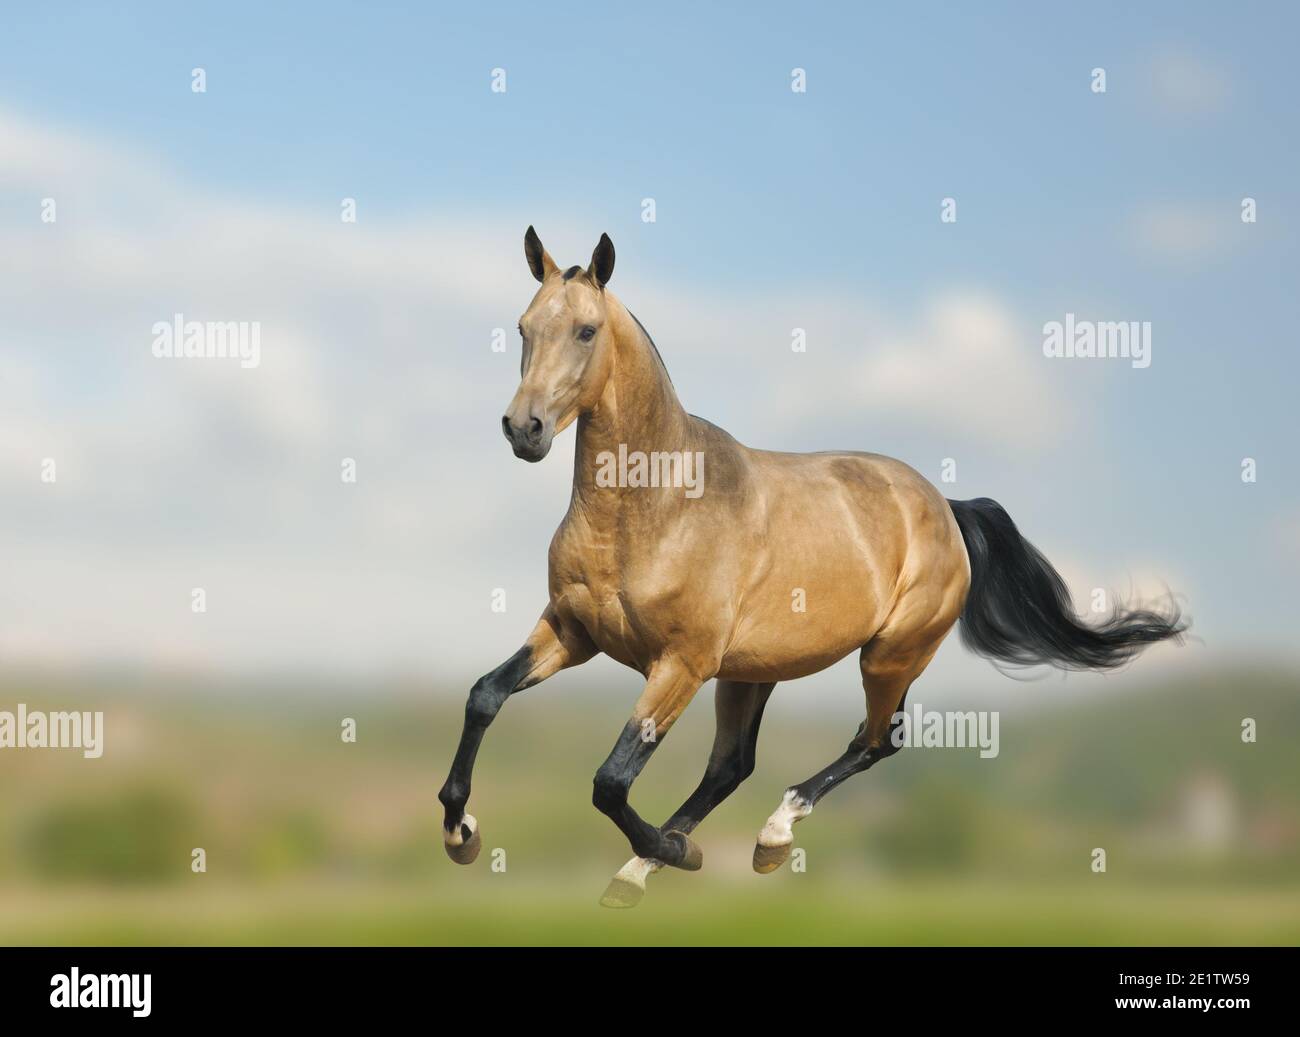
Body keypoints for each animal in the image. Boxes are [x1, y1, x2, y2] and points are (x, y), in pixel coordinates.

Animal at [439, 230, 1190, 909]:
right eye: (524, 327)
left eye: (587, 330)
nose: (524, 428)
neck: (652, 507)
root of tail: (945, 508)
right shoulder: (573, 631)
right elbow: (485, 696)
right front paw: (460, 831)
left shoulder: (680, 663)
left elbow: (611, 780)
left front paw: (676, 851)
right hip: (753, 671)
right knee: (733, 764)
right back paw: (645, 869)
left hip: (888, 655)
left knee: (875, 740)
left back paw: (762, 837)